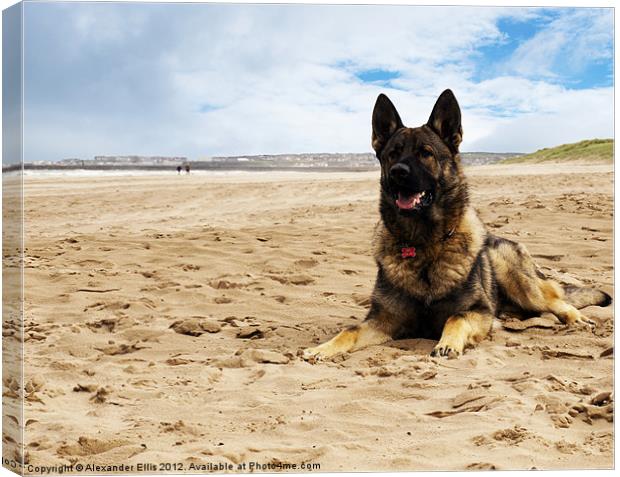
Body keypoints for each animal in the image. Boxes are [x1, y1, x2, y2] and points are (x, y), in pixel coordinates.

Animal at [304, 89, 612, 358]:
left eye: (425, 153)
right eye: (393, 154)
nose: (397, 173)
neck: (424, 244)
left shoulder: (478, 311)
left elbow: (456, 319)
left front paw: (448, 344)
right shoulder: (383, 320)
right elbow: (349, 330)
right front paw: (322, 348)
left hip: (519, 280)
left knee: (556, 301)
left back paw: (576, 319)